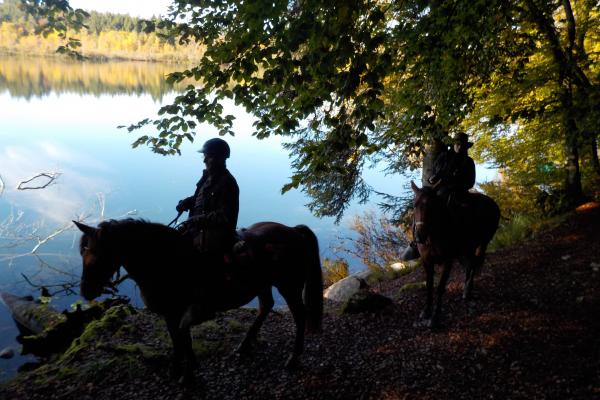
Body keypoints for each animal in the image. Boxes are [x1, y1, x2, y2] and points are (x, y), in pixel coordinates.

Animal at [73, 220, 324, 382]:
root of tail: (293, 231)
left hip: (289, 286)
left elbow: (183, 337)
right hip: (263, 284)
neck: (165, 260)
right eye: (82, 253)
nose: (86, 291)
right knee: (266, 307)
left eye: (97, 254)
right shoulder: (170, 313)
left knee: (299, 316)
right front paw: (179, 370)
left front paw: (187, 373)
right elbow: (178, 340)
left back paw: (293, 359)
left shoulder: (186, 311)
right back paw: (244, 346)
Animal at [408, 181, 502, 328]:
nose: (419, 236)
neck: (434, 236)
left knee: (474, 264)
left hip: (483, 243)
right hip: (467, 249)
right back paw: (465, 290)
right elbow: (429, 285)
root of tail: (493, 203)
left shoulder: (448, 261)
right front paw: (426, 311)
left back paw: (468, 290)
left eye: (431, 205)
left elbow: (440, 287)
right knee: (470, 265)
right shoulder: (426, 261)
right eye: (414, 205)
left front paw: (435, 317)